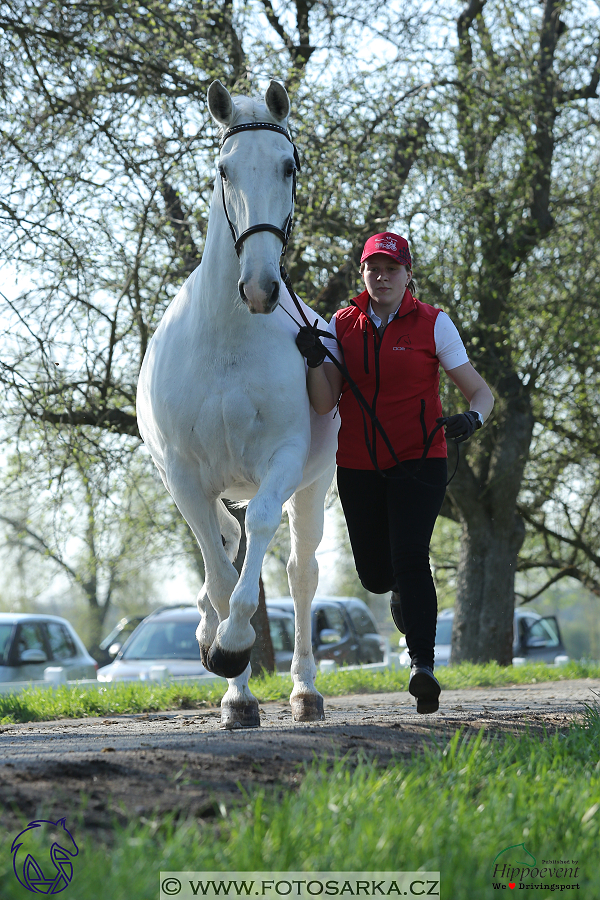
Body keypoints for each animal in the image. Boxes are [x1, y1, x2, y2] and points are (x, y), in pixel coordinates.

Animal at [138, 77, 340, 724]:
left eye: (288, 165)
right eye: (224, 169)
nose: (258, 287)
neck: (228, 338)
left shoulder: (283, 461)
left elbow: (259, 539)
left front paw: (230, 644)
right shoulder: (183, 475)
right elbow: (221, 567)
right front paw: (226, 663)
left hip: (313, 487)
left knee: (301, 574)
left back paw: (304, 690)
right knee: (224, 551)